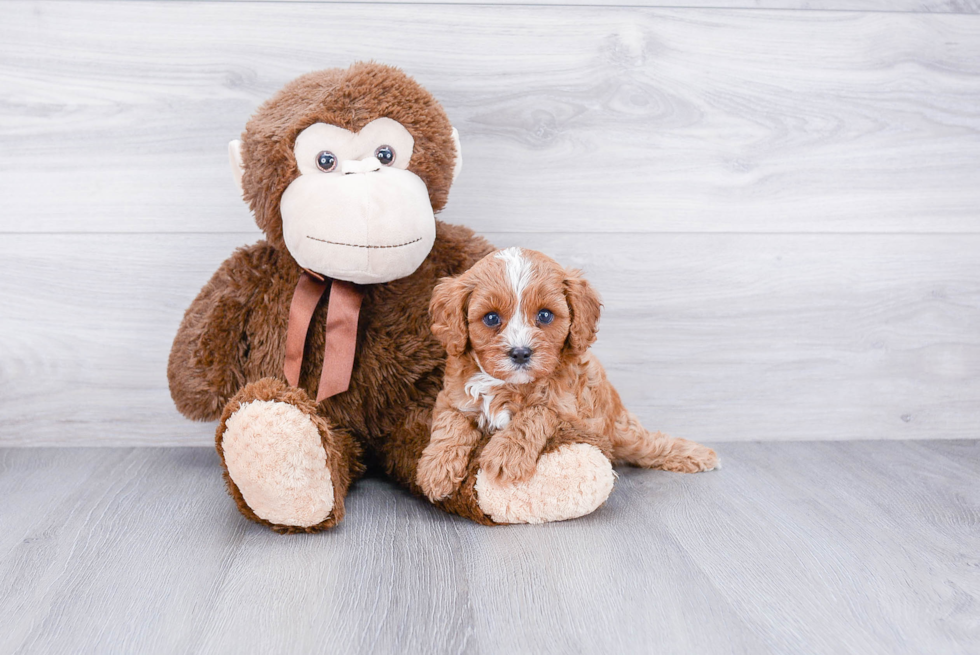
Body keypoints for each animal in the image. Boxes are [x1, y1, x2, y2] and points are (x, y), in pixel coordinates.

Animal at [416, 247, 720, 502]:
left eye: (545, 315)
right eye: (491, 318)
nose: (520, 353)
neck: (508, 385)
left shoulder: (570, 411)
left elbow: (537, 412)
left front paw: (506, 453)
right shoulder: (451, 397)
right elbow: (450, 425)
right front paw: (436, 469)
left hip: (622, 432)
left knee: (652, 444)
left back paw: (700, 455)